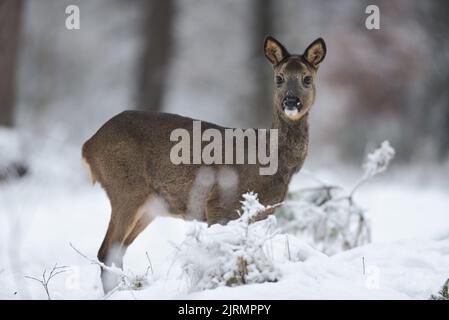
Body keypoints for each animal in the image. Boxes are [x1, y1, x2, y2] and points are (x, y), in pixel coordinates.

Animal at [81, 35, 326, 292]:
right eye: (279, 78)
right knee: (106, 251)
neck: (271, 162)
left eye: (307, 78)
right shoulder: (217, 205)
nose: (291, 101)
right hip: (125, 188)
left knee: (116, 252)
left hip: (149, 207)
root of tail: (88, 145)